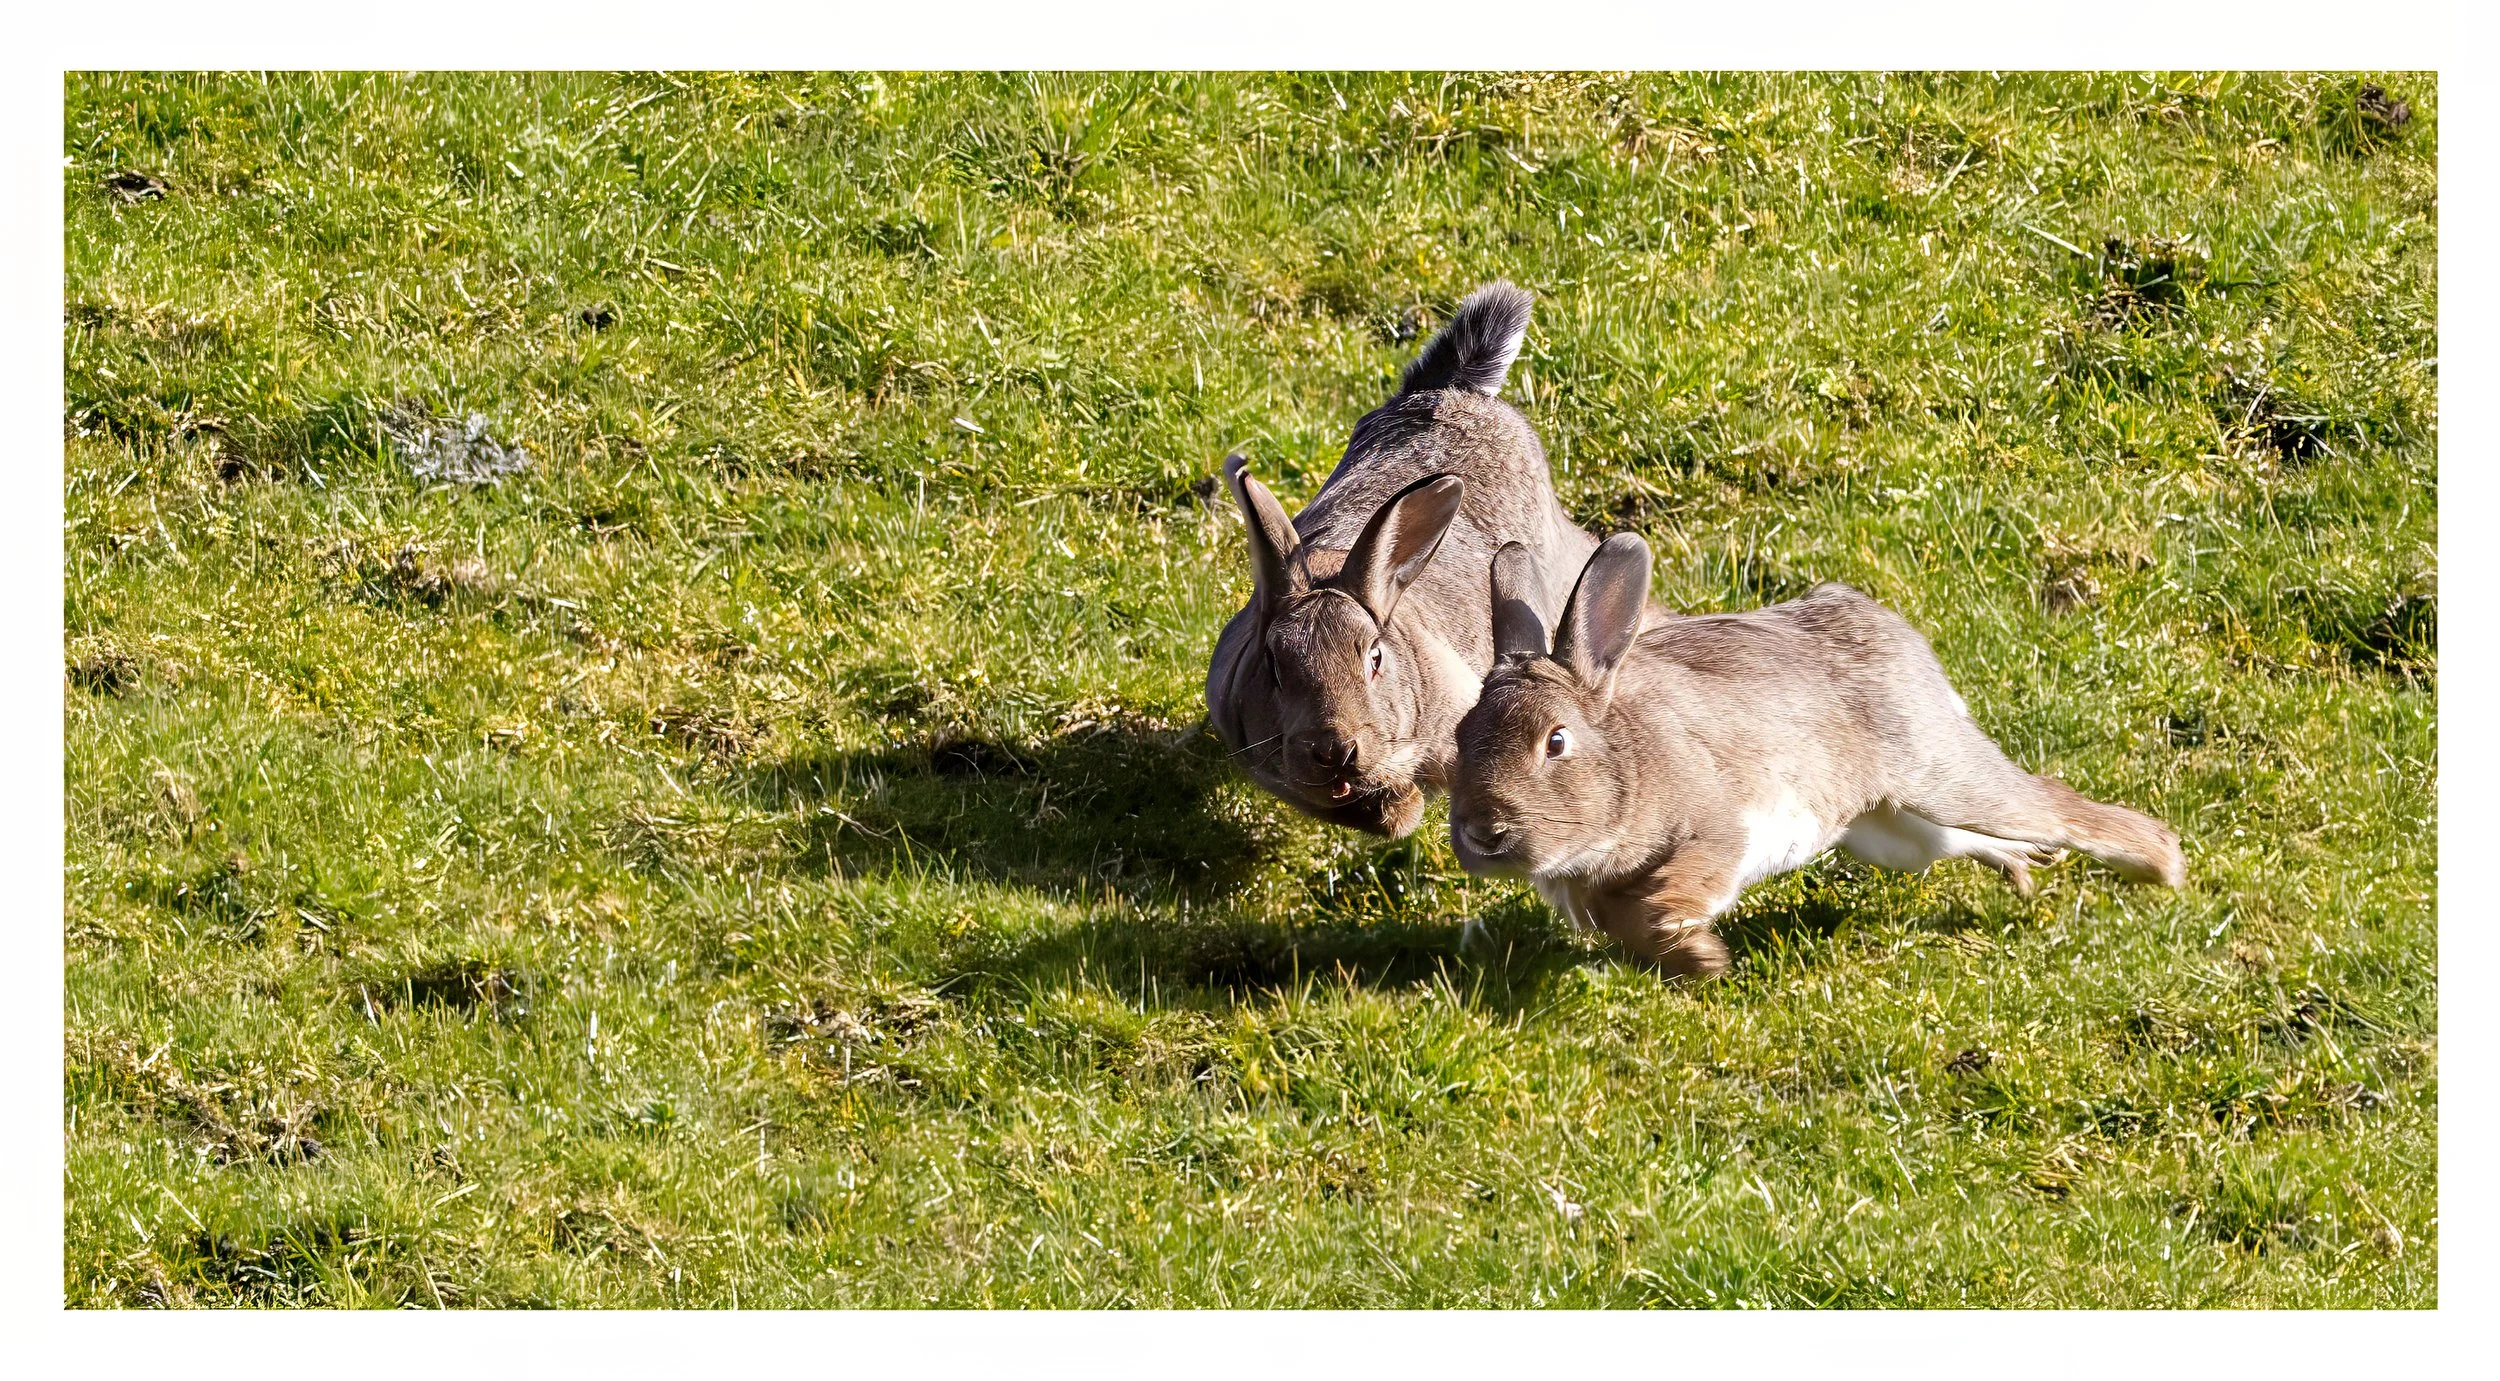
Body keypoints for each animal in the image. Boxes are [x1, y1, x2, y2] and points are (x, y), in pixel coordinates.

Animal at [1449, 534, 2187, 977]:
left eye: (1556, 741)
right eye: (1460, 735)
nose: (1484, 833)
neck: (1628, 764)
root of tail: (1891, 630)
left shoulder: (1718, 830)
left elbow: (1671, 898)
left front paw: (1704, 957)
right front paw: (1694, 958)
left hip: (1939, 774)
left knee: (2053, 805)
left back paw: (2163, 865)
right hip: (1885, 829)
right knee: (1956, 842)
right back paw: (2021, 868)